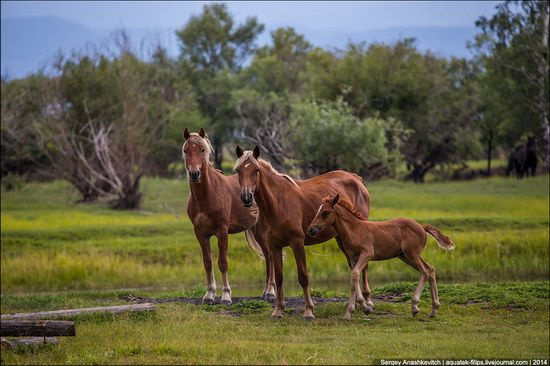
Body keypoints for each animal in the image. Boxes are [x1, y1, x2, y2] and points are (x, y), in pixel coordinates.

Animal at [183, 127, 276, 304]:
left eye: (202, 149)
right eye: (186, 150)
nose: (194, 174)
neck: (207, 195)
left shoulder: (222, 231)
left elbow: (223, 262)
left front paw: (226, 295)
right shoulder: (200, 233)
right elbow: (208, 263)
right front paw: (209, 295)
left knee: (271, 255)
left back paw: (270, 292)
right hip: (257, 230)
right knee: (268, 256)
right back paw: (265, 292)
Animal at [235, 146, 374, 318]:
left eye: (256, 170)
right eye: (238, 170)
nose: (246, 197)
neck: (277, 203)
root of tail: (357, 179)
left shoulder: (297, 243)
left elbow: (303, 276)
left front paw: (308, 311)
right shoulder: (274, 246)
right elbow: (279, 277)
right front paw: (278, 309)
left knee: (363, 267)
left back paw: (368, 302)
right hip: (342, 239)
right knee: (353, 266)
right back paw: (358, 303)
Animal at [310, 194, 458, 320]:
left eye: (325, 212)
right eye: (317, 211)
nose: (311, 229)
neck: (355, 229)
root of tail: (422, 227)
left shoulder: (367, 254)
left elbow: (355, 275)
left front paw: (358, 309)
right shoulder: (353, 258)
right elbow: (353, 277)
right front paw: (356, 310)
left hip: (412, 254)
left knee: (426, 271)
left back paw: (415, 307)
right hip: (405, 256)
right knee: (431, 269)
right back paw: (434, 310)